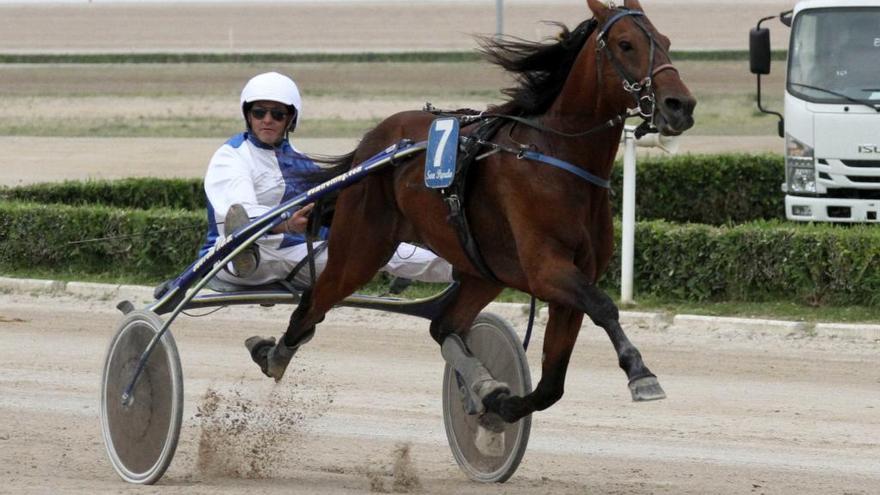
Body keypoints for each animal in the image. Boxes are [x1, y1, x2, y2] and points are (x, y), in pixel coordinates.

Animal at [248, 0, 696, 424]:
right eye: (626, 44)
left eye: (667, 41)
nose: (681, 105)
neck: (556, 157)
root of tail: (371, 145)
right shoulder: (547, 269)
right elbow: (604, 307)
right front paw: (641, 374)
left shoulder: (572, 279)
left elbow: (551, 385)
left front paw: (501, 405)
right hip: (361, 249)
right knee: (314, 300)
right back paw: (273, 354)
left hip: (483, 270)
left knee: (443, 325)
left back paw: (483, 386)